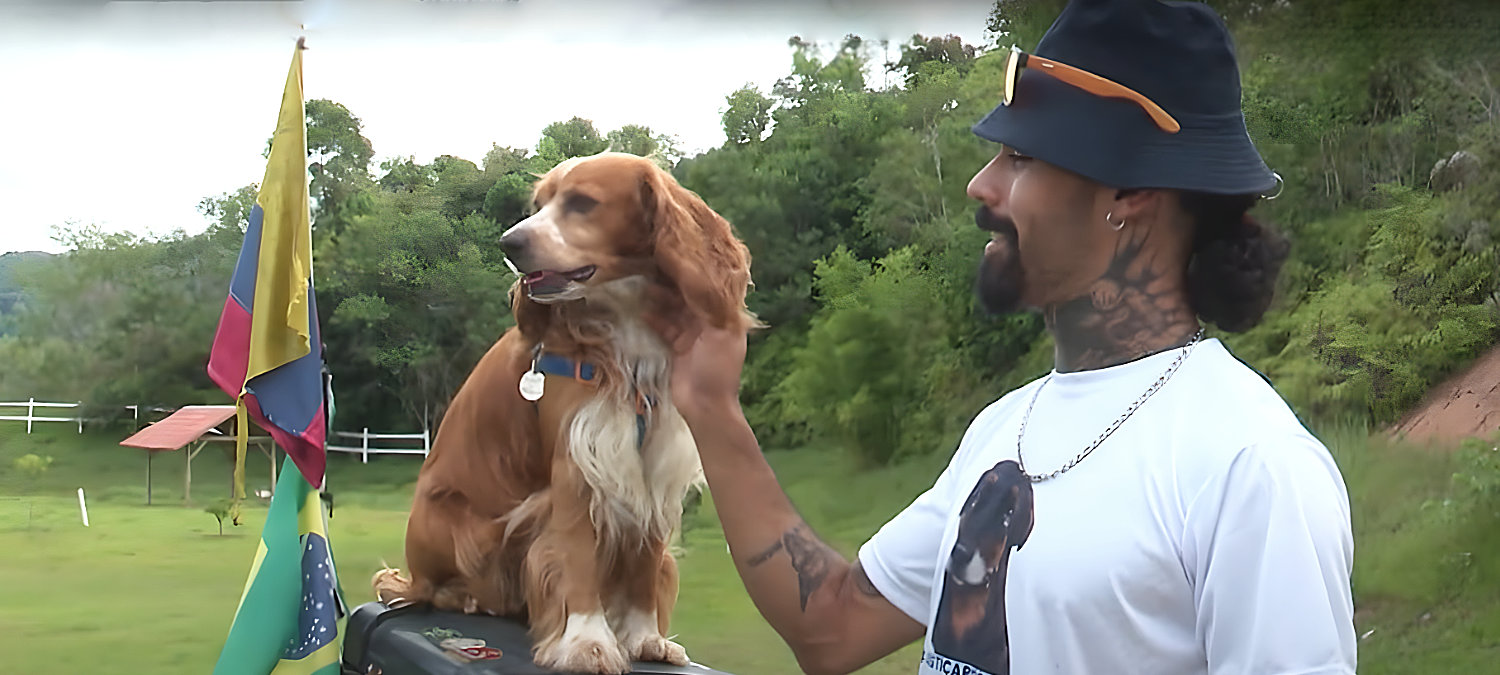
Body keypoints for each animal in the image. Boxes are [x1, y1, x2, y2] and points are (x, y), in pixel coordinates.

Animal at [373, 152, 757, 674]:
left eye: (581, 203)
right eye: (539, 205)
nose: (509, 242)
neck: (626, 330)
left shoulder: (652, 464)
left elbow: (646, 560)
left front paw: (645, 637)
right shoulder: (579, 458)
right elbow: (577, 558)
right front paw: (586, 641)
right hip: (459, 528)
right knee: (429, 590)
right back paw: (468, 598)